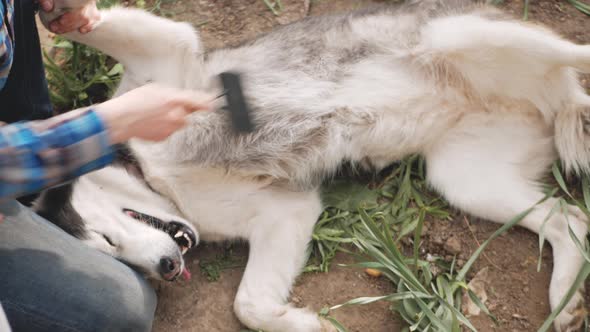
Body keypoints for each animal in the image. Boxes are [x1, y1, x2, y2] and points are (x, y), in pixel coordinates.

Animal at [38, 0, 590, 330]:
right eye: (117, 257)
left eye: (107, 239)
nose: (167, 270)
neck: (155, 172)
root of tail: (553, 95)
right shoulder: (286, 211)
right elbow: (249, 305)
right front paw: (306, 323)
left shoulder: (170, 57)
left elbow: (120, 31)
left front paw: (68, 16)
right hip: (464, 179)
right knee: (570, 219)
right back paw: (566, 297)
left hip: (459, 36)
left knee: (576, 51)